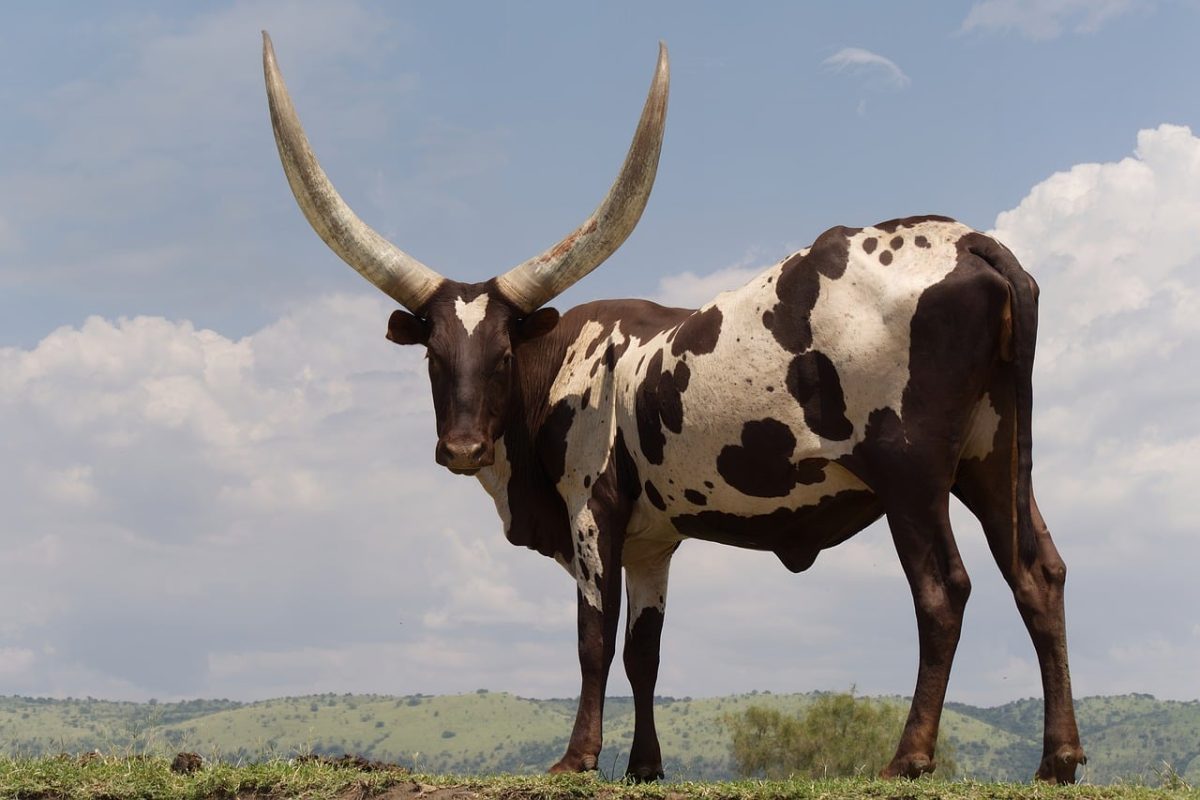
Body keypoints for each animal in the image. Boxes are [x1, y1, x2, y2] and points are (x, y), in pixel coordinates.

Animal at [262, 33, 1086, 783]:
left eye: (500, 356)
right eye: (434, 355)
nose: (461, 448)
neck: (564, 367)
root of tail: (973, 243)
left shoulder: (593, 511)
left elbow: (595, 638)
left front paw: (578, 758)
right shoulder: (653, 542)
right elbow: (645, 652)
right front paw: (644, 766)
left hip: (911, 472)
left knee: (943, 591)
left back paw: (909, 757)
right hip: (991, 458)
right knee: (1037, 573)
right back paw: (1058, 759)